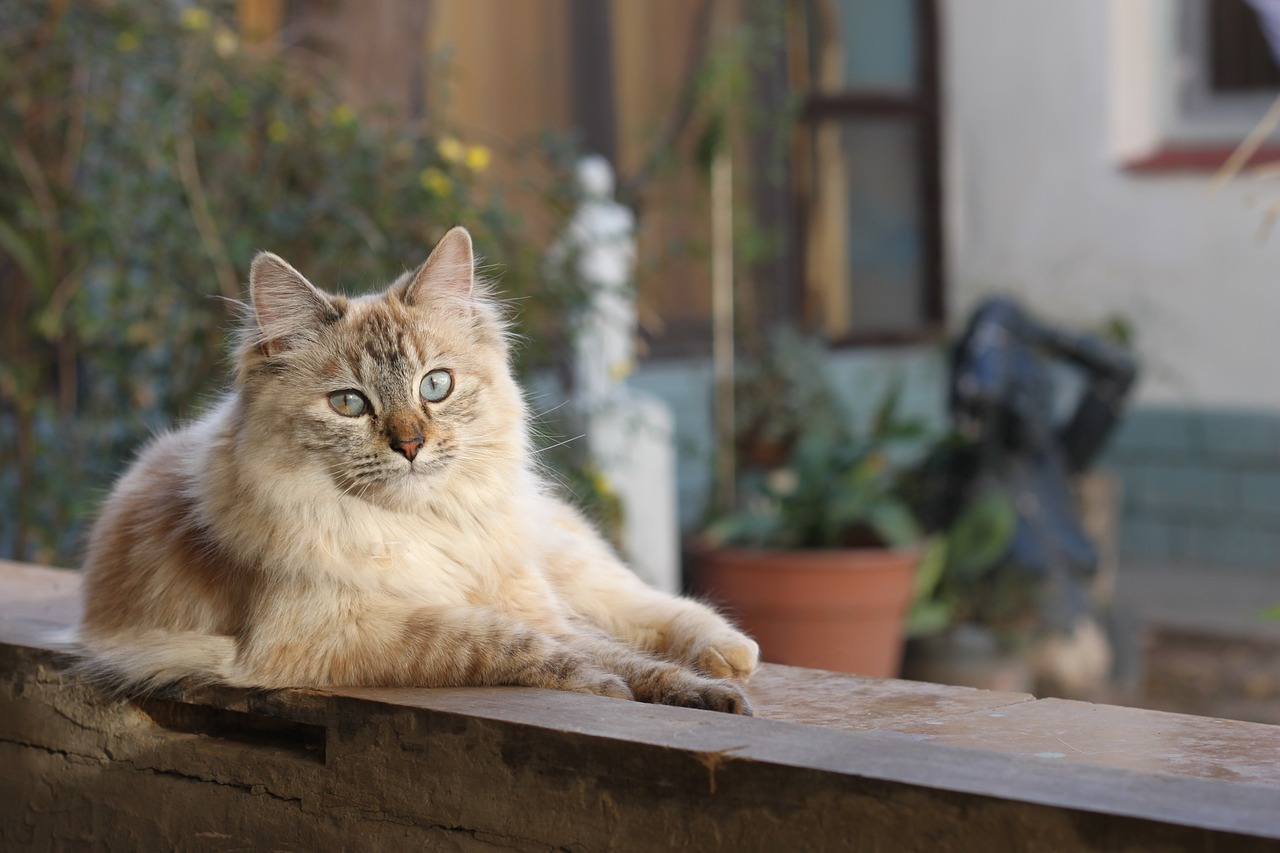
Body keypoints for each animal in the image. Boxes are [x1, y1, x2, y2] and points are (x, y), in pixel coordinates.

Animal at [74, 224, 757, 712]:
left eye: (435, 385)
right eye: (349, 403)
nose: (410, 445)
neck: (419, 526)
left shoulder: (518, 596)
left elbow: (612, 648)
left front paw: (698, 693)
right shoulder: (340, 631)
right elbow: (517, 644)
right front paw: (608, 685)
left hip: (559, 558)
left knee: (646, 604)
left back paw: (729, 655)